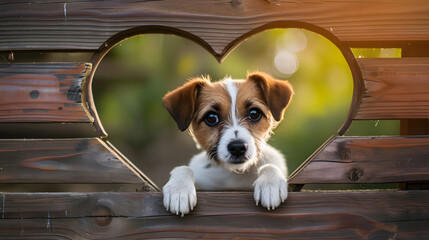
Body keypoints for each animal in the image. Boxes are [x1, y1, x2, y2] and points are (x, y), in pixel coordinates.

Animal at [162, 71, 292, 216]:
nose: (237, 148)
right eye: (211, 117)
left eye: (254, 113)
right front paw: (179, 189)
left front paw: (270, 184)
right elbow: (184, 168)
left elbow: (269, 166)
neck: (233, 173)